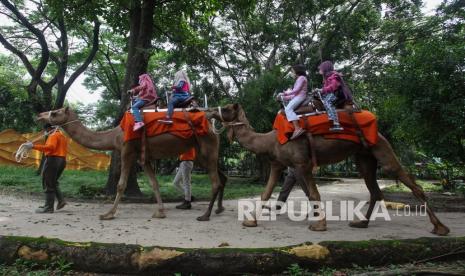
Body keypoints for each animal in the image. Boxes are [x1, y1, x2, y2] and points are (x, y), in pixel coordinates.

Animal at [35, 106, 227, 221]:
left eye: (55, 112)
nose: (39, 115)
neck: (114, 136)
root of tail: (211, 119)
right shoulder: (145, 157)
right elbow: (154, 183)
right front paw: (160, 212)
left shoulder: (127, 151)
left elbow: (121, 184)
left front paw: (108, 214)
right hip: (203, 152)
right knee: (222, 177)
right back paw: (219, 209)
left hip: (207, 146)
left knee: (215, 181)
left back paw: (205, 215)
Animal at [210, 103, 450, 235]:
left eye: (227, 108)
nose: (211, 111)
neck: (269, 141)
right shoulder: (278, 164)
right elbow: (266, 192)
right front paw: (250, 221)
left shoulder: (302, 164)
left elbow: (314, 193)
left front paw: (319, 225)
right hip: (364, 158)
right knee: (374, 189)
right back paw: (361, 223)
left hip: (381, 148)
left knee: (409, 181)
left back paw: (440, 228)